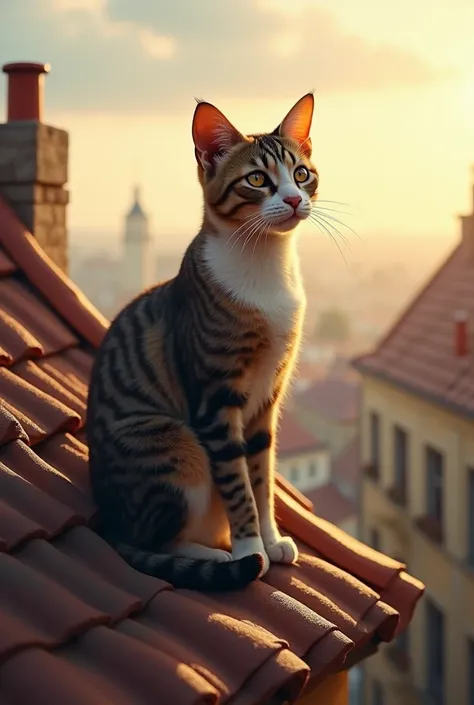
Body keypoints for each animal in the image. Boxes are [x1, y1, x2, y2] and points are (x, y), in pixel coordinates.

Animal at [87, 92, 320, 588]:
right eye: (257, 179)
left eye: (301, 173)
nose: (293, 199)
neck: (264, 266)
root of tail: (109, 522)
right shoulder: (216, 398)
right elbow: (238, 483)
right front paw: (252, 549)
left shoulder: (267, 399)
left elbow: (261, 478)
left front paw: (271, 539)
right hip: (174, 444)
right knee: (157, 541)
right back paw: (217, 557)